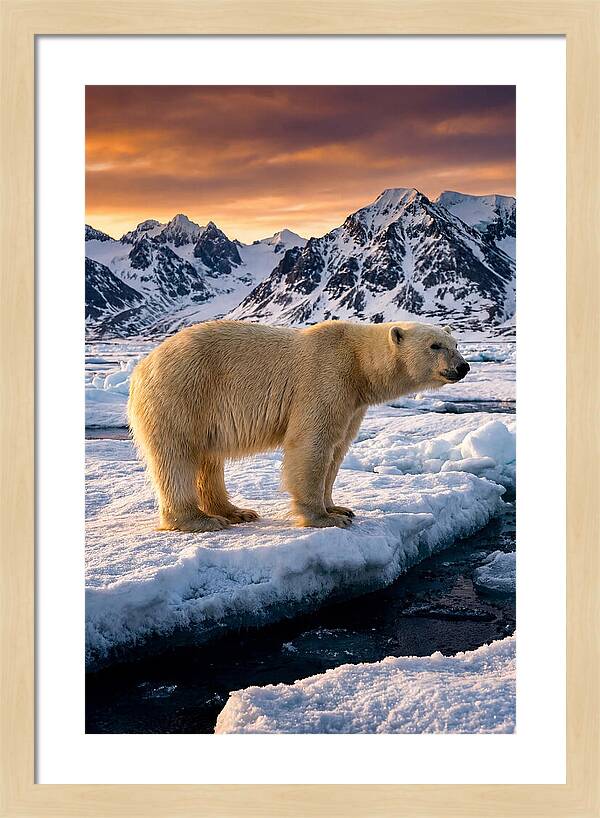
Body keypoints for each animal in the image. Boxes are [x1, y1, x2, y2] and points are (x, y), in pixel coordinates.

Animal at [128, 319, 470, 532]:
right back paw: (200, 520)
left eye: (455, 343)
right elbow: (311, 444)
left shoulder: (352, 402)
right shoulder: (326, 377)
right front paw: (324, 518)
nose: (463, 366)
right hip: (183, 391)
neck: (358, 363)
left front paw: (339, 508)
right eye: (435, 345)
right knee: (177, 454)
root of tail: (142, 366)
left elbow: (337, 449)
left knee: (209, 459)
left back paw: (235, 511)